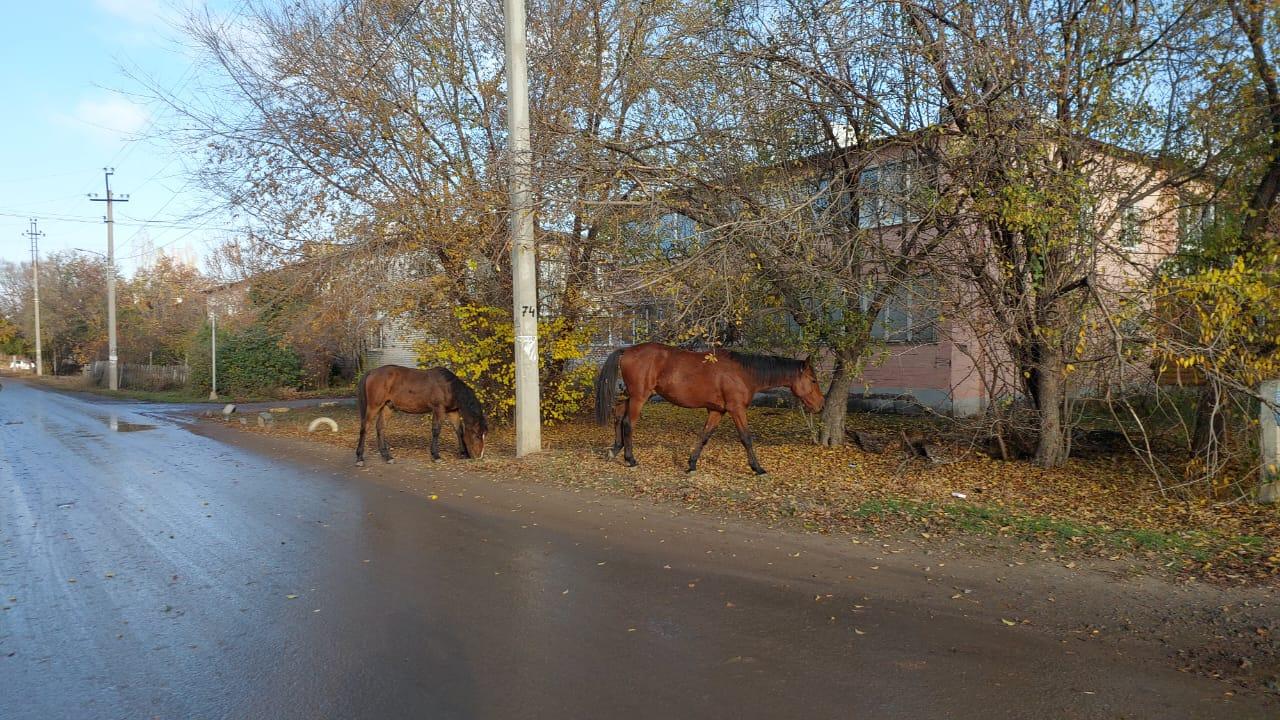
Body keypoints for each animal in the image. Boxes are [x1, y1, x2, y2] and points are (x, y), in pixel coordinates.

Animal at [355, 363, 483, 466]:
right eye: (477, 435)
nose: (479, 456)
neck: (448, 387)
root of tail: (372, 372)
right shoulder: (438, 409)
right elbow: (436, 431)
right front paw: (436, 456)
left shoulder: (452, 411)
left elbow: (459, 430)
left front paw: (463, 454)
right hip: (374, 406)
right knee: (364, 428)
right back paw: (360, 458)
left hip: (388, 407)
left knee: (380, 427)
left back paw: (387, 457)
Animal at [593, 340, 824, 474]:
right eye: (813, 380)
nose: (820, 405)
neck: (743, 373)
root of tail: (627, 350)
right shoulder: (736, 409)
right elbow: (746, 438)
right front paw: (757, 468)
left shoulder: (717, 411)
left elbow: (704, 436)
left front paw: (691, 464)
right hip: (640, 397)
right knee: (628, 423)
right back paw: (630, 459)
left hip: (638, 396)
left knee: (618, 413)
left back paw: (615, 449)